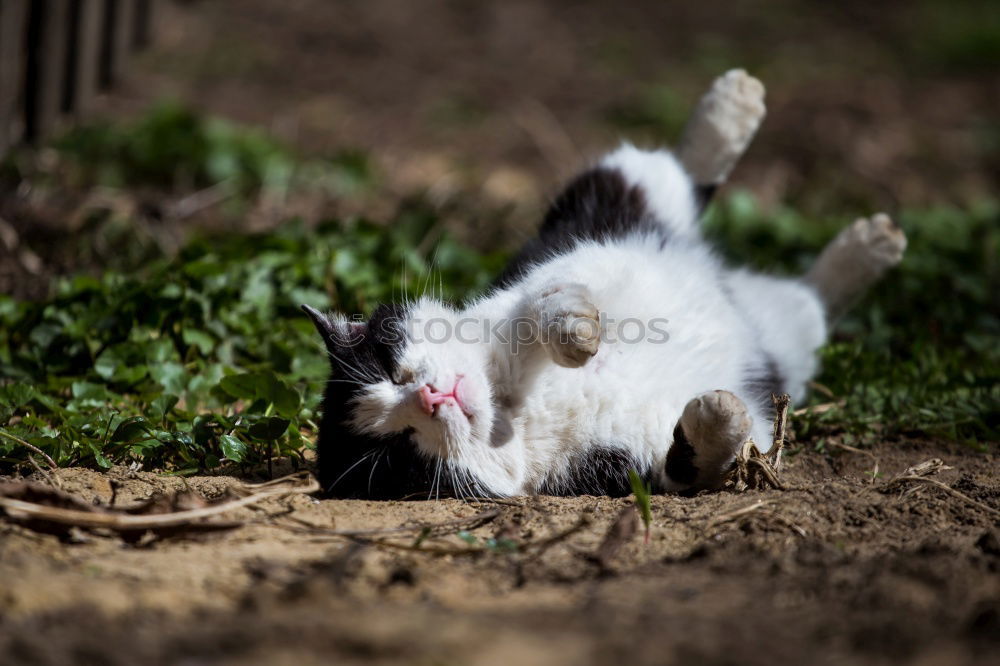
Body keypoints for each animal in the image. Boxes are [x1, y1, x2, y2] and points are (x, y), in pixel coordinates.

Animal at [302, 72, 908, 498]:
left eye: (392, 365)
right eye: (401, 450)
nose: (430, 397)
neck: (513, 405)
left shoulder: (547, 275)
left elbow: (541, 305)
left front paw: (575, 331)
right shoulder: (629, 468)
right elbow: (694, 462)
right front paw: (718, 414)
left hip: (609, 203)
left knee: (660, 173)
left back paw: (736, 106)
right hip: (791, 347)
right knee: (812, 306)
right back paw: (868, 248)